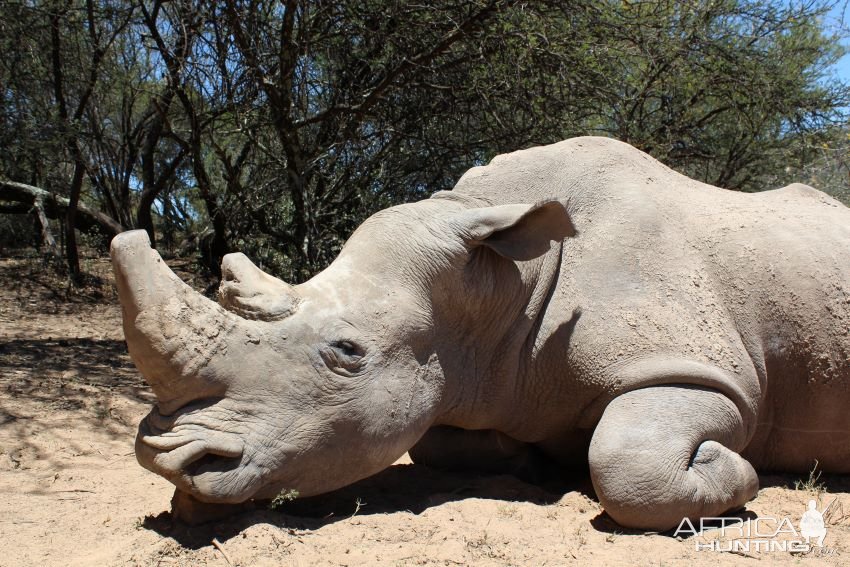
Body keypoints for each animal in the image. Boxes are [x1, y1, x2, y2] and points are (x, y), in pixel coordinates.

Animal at [111, 135, 848, 532]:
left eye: (347, 353)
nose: (168, 461)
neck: (498, 279)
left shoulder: (702, 371)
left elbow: (627, 459)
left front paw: (740, 472)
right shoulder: (469, 376)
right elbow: (436, 441)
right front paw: (532, 460)